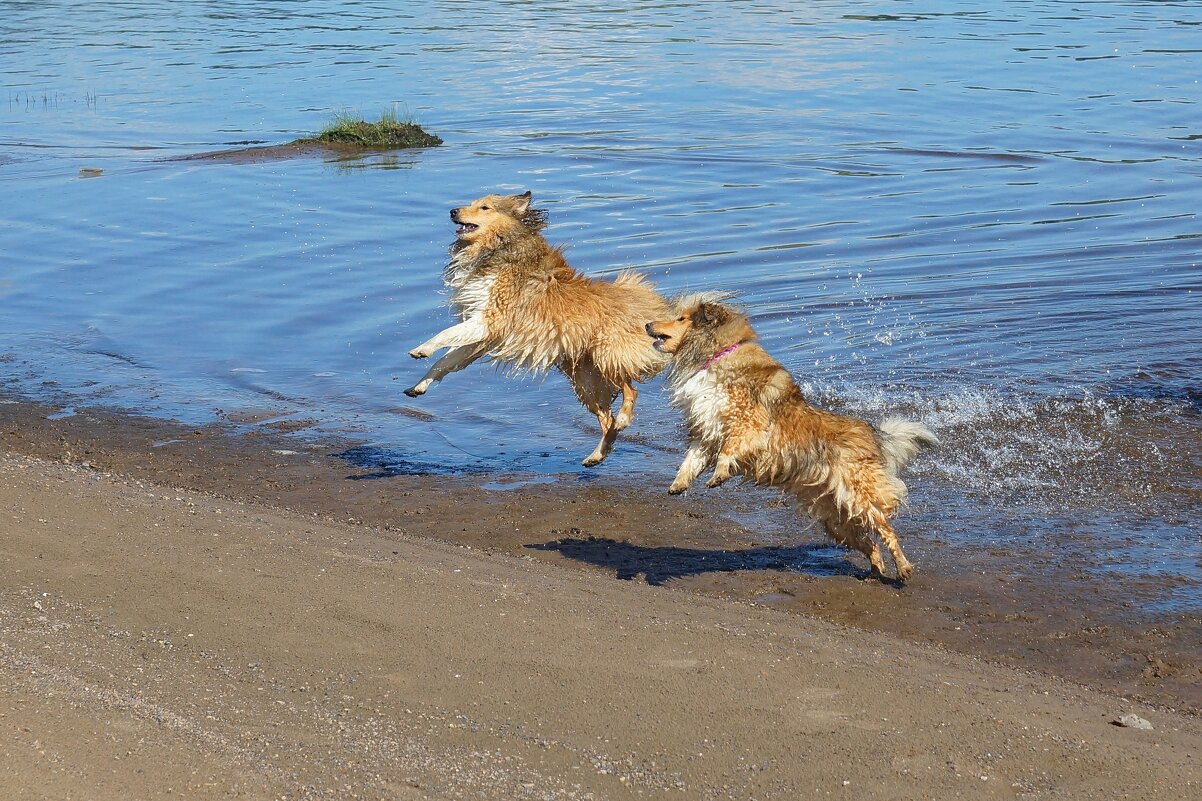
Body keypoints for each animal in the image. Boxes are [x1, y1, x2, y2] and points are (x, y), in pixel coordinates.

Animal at [403, 191, 668, 464]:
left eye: (484, 207)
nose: (453, 211)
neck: (500, 248)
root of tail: (645, 303)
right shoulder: (481, 336)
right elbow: (445, 361)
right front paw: (419, 386)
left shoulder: (491, 319)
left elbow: (443, 335)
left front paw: (421, 349)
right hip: (586, 382)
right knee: (608, 422)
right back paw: (596, 456)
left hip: (608, 356)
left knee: (630, 391)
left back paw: (624, 419)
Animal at [649, 295, 937, 577]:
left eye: (681, 318)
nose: (647, 325)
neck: (716, 357)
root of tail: (871, 434)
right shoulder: (707, 433)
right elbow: (691, 460)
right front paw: (678, 484)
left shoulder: (749, 424)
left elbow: (728, 450)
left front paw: (718, 475)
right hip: (835, 520)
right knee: (870, 543)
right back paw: (876, 571)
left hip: (861, 498)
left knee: (887, 531)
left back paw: (903, 568)